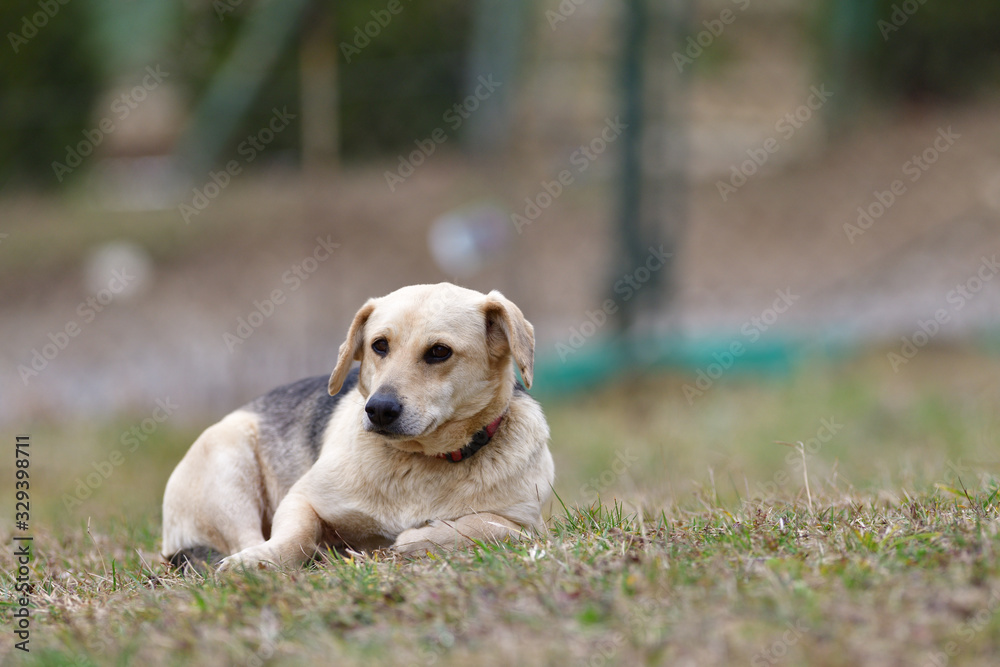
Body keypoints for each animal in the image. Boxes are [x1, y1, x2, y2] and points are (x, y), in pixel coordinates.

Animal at [162, 280, 556, 568]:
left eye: (439, 351)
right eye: (379, 345)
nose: (379, 409)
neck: (419, 462)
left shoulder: (530, 526)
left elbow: (489, 525)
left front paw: (422, 537)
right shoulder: (302, 499)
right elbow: (295, 536)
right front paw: (266, 559)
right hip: (229, 465)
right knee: (245, 539)